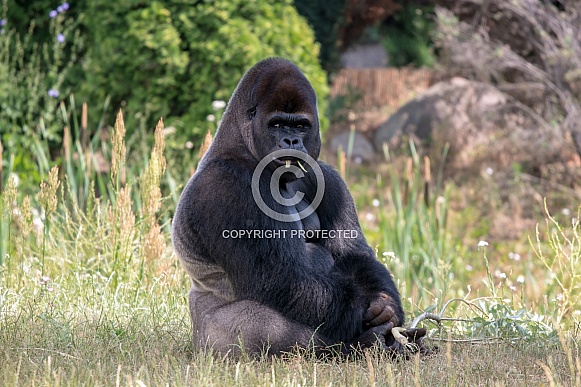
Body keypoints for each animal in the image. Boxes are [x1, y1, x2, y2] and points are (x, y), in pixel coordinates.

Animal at [170, 57, 424, 358]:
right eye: (277, 124)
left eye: (301, 126)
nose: (291, 142)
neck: (241, 146)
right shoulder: (227, 186)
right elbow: (282, 279)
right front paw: (372, 318)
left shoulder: (326, 176)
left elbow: (353, 254)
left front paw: (386, 304)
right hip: (209, 342)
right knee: (264, 326)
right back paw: (362, 343)